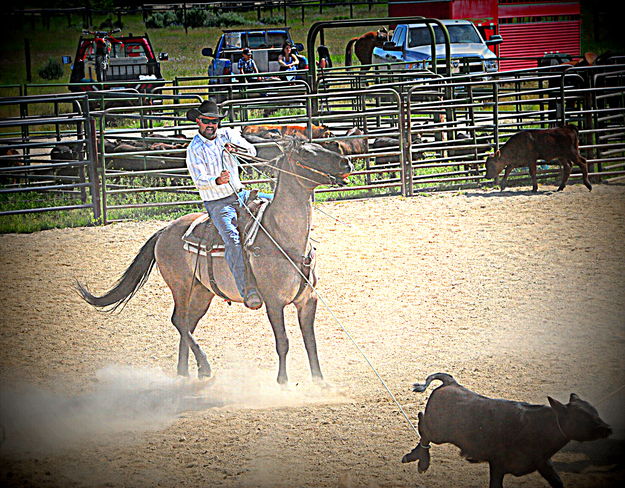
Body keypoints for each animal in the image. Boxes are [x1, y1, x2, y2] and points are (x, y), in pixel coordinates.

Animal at [74, 138, 352, 386]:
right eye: (306, 153)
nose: (346, 161)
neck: (281, 235)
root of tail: (164, 230)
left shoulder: (308, 300)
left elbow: (310, 342)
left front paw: (320, 383)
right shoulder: (274, 302)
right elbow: (282, 342)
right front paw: (282, 383)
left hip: (202, 292)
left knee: (187, 324)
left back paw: (185, 372)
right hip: (181, 286)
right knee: (179, 321)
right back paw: (204, 366)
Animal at [400, 374, 608, 488]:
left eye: (596, 412)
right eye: (583, 418)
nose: (608, 429)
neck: (538, 427)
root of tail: (451, 382)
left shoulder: (544, 464)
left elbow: (558, 482)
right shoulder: (498, 465)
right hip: (439, 433)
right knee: (422, 424)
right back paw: (421, 460)